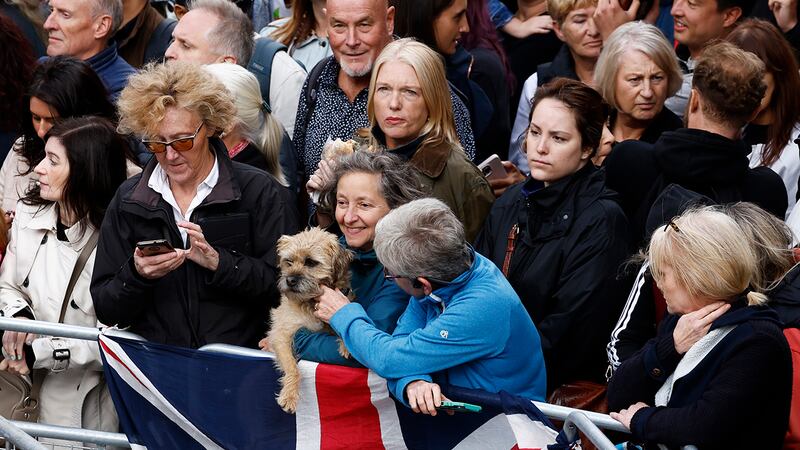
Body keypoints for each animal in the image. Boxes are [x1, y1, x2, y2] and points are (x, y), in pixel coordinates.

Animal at [267, 228, 353, 413]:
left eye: (311, 262)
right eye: (288, 261)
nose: (290, 280)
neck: (310, 303)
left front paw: (346, 343)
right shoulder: (282, 335)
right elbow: (292, 367)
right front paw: (290, 395)